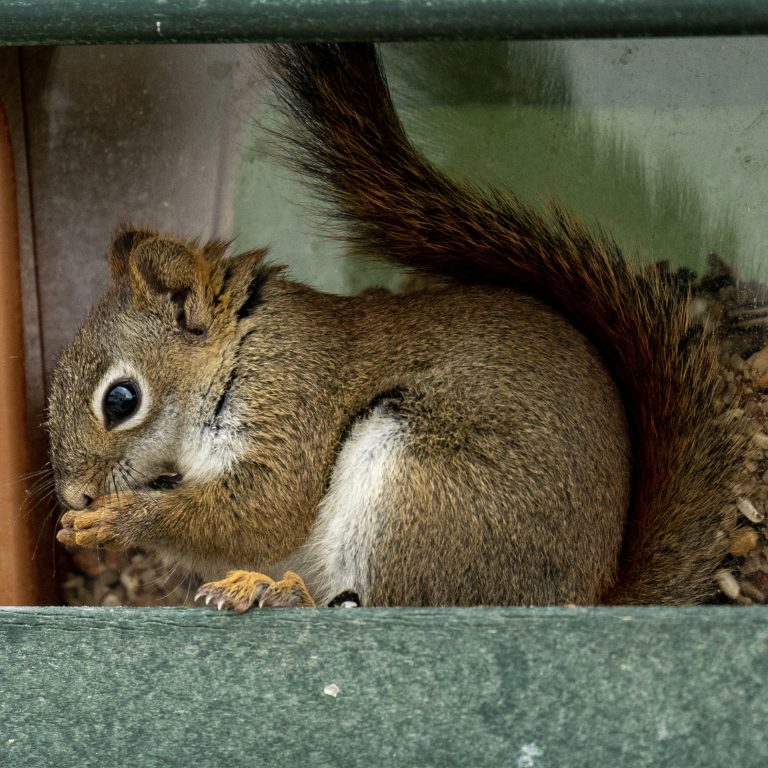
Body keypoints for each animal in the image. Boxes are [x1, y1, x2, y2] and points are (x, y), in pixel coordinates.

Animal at [46, 42, 744, 608]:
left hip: (423, 491)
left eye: (121, 399)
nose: (75, 497)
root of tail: (585, 597)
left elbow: (266, 510)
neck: (243, 350)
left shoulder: (292, 400)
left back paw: (281, 595)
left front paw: (120, 521)